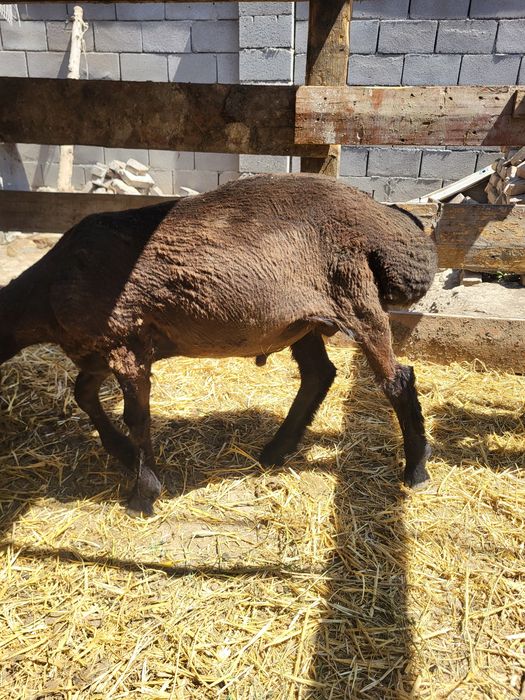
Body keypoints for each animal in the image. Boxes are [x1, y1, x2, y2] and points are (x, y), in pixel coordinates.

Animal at [0, 174, 437, 515]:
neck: (44, 297)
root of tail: (393, 221)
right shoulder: (96, 352)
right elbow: (83, 394)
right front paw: (121, 452)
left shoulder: (124, 342)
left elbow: (137, 417)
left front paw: (143, 493)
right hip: (306, 319)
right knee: (319, 374)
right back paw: (276, 450)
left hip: (354, 294)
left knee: (397, 380)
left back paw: (416, 469)